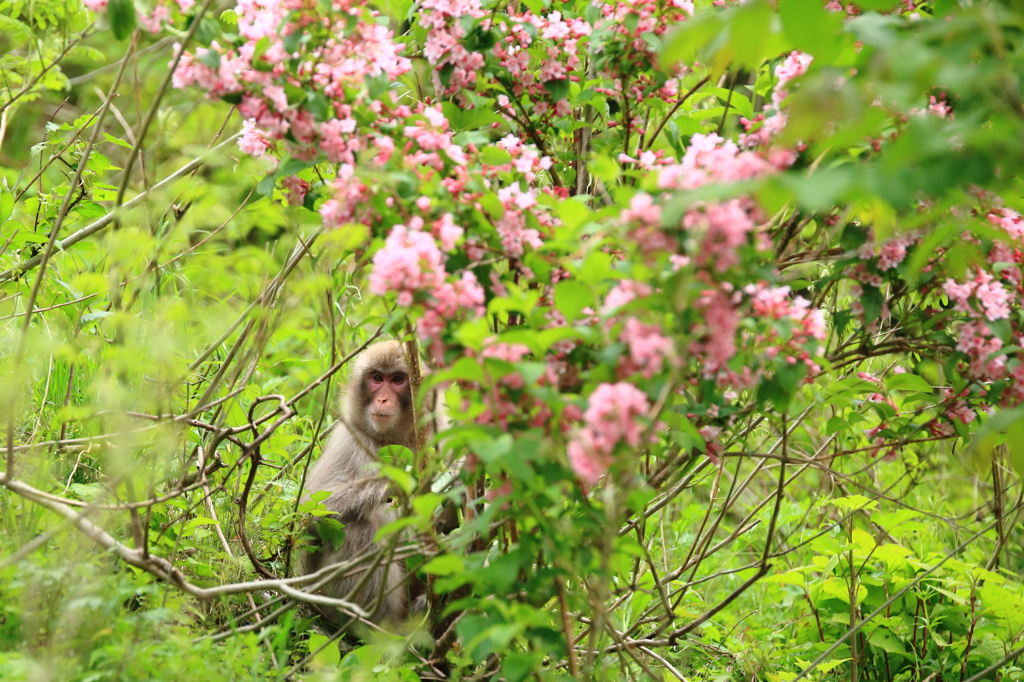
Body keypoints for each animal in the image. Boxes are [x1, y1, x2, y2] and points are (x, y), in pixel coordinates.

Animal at [299, 337, 417, 622]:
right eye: (377, 378)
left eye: (398, 379)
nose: (383, 398)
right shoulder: (350, 439)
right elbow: (311, 509)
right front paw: (393, 484)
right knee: (357, 529)